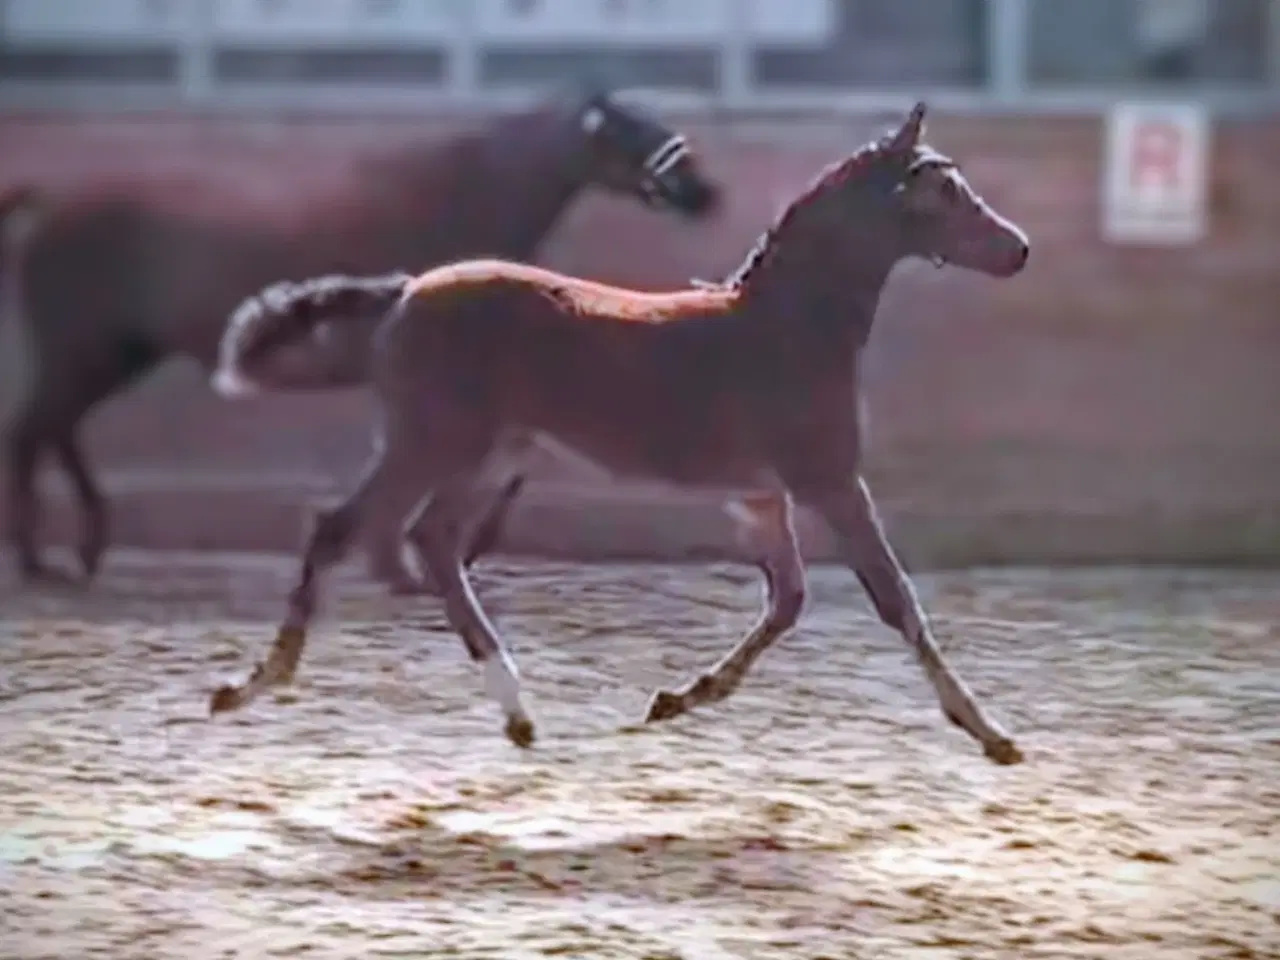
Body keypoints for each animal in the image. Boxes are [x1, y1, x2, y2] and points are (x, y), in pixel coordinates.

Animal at [0, 86, 721, 589]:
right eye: (630, 131)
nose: (704, 193)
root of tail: (53, 203)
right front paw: (410, 564)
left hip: (113, 357)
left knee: (54, 431)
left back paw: (81, 550)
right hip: (83, 353)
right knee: (35, 431)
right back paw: (43, 559)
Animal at [209, 102, 1030, 766]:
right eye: (942, 193)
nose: (1019, 248)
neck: (785, 327)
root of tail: (406, 290)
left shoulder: (761, 496)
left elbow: (788, 600)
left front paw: (679, 699)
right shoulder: (826, 480)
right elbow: (893, 598)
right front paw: (990, 732)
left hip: (490, 450)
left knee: (433, 542)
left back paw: (517, 712)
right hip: (434, 441)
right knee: (343, 529)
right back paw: (254, 685)